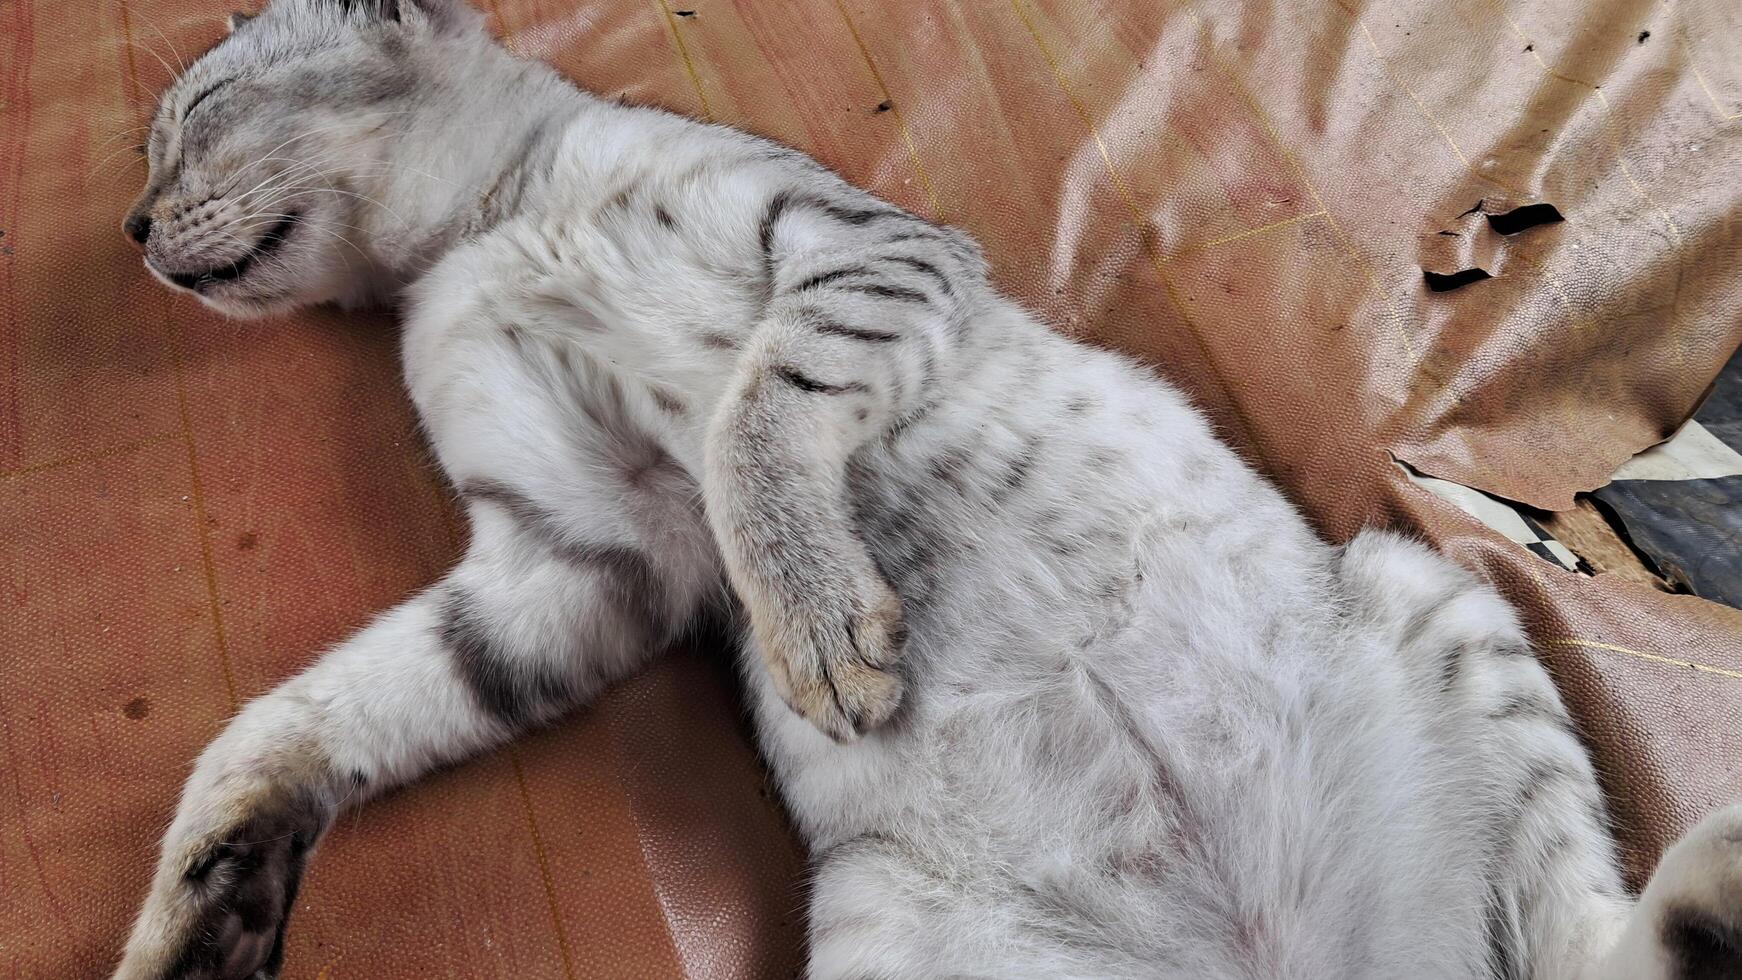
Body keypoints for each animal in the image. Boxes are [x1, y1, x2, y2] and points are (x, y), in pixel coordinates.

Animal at [115, 1, 1735, 980]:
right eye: (159, 143)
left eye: (192, 116)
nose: (129, 229)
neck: (483, 233)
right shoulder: (575, 548)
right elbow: (294, 722)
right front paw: (199, 912)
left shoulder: (850, 245)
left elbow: (755, 418)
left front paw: (821, 626)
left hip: (1433, 584)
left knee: (1592, 948)